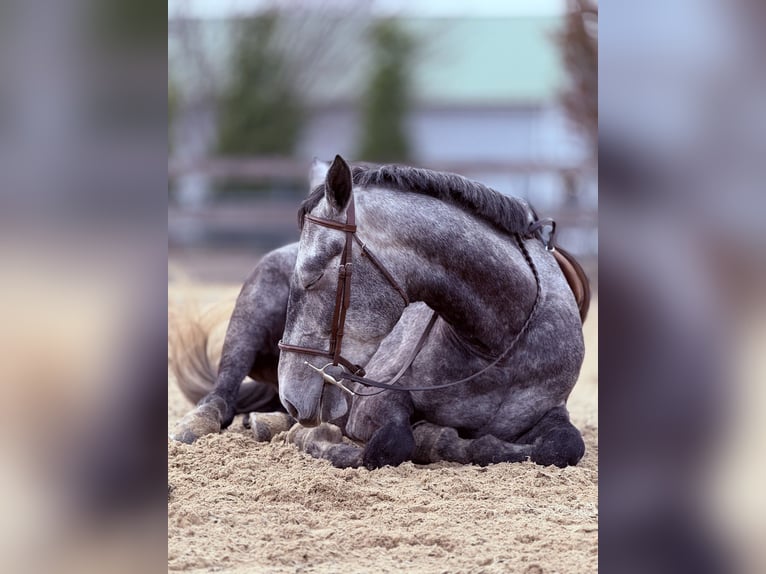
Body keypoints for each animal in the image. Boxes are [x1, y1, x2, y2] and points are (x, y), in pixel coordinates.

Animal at [170, 155, 589, 470]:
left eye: (313, 275)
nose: (292, 396)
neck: (497, 343)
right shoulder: (375, 401)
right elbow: (391, 443)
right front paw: (321, 440)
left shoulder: (550, 413)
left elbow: (565, 447)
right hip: (250, 317)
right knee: (220, 396)